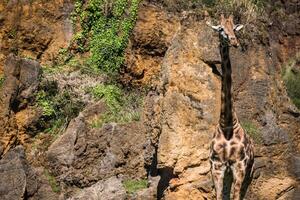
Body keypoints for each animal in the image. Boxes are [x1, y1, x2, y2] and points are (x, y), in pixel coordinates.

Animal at [207, 14, 254, 199]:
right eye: (221, 29)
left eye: (234, 28)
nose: (235, 42)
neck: (226, 124)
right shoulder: (217, 166)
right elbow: (219, 196)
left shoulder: (239, 165)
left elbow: (235, 197)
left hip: (249, 172)